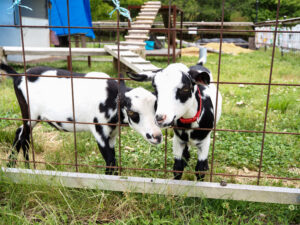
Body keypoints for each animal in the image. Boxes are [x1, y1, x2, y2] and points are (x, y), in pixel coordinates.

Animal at [1, 63, 163, 174]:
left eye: (156, 107)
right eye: (132, 112)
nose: (157, 136)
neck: (110, 98)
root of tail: (18, 76)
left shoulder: (112, 134)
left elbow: (112, 160)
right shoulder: (99, 131)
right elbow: (110, 161)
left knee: (20, 134)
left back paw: (17, 166)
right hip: (29, 114)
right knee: (23, 136)